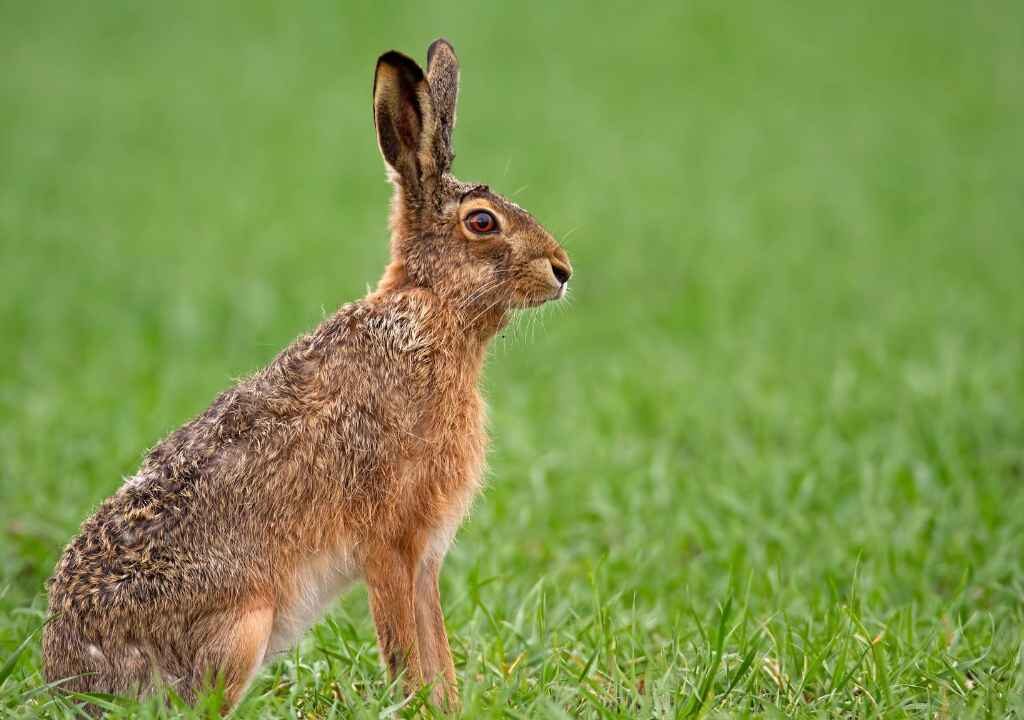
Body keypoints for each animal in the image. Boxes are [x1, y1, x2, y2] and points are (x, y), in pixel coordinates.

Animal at [42, 38, 572, 712]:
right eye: (482, 222)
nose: (563, 270)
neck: (429, 311)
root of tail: (72, 685)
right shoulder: (390, 544)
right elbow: (406, 648)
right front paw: (415, 706)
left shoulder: (425, 555)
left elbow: (437, 649)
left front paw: (449, 707)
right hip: (244, 627)